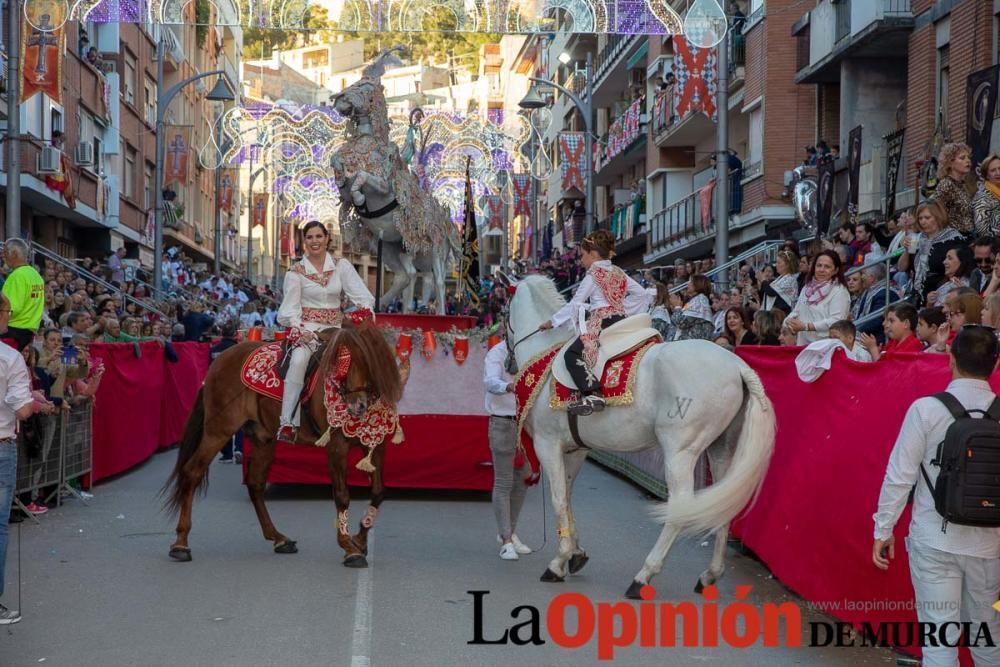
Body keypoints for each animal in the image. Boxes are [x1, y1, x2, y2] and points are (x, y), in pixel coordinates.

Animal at [162, 324, 404, 568]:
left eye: (367, 359)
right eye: (339, 362)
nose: (356, 406)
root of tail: (218, 362)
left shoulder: (375, 446)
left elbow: (378, 492)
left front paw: (360, 541)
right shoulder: (336, 446)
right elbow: (342, 495)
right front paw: (349, 548)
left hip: (263, 438)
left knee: (255, 483)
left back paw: (278, 538)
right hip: (218, 430)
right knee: (192, 472)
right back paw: (181, 544)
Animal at [504, 274, 776, 596]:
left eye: (504, 309)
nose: (507, 360)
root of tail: (736, 364)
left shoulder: (548, 445)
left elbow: (559, 499)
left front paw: (558, 562)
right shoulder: (575, 450)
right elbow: (568, 497)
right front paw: (575, 554)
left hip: (680, 452)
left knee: (681, 506)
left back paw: (643, 576)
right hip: (722, 447)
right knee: (723, 503)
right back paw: (709, 575)